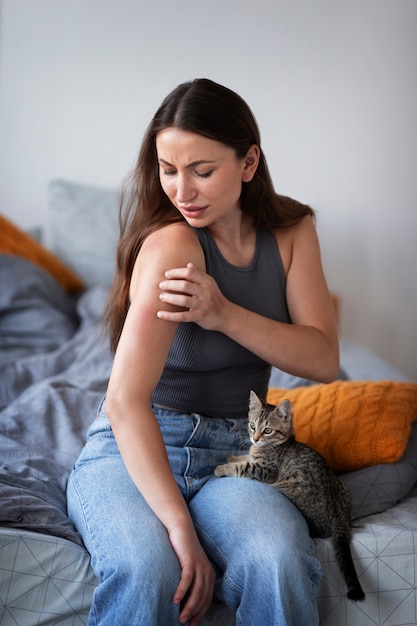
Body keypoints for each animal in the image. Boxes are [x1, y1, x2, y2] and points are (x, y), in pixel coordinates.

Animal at [214, 390, 364, 600]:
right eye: (252, 426)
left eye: (268, 430)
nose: (255, 438)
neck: (274, 445)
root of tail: (339, 521)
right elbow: (246, 457)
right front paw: (233, 456)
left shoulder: (265, 471)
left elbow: (243, 466)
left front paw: (222, 468)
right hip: (343, 487)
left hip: (280, 488)